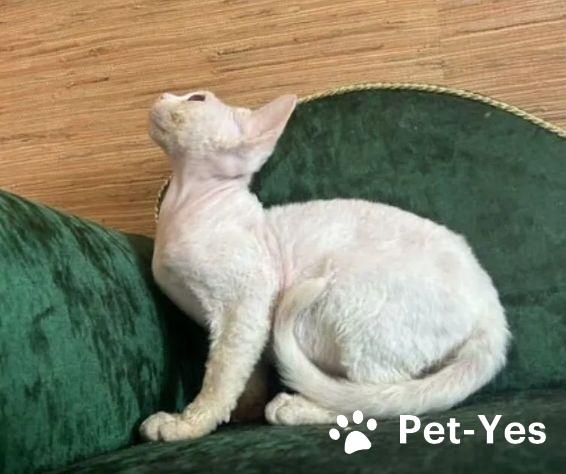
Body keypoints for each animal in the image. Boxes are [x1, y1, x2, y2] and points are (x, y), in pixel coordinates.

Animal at [140, 90, 510, 442]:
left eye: (196, 99)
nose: (161, 95)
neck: (184, 204)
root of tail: (493, 312)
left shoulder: (244, 305)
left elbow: (221, 374)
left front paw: (190, 423)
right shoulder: (249, 324)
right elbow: (249, 371)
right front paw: (244, 409)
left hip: (349, 296)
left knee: (372, 401)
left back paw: (296, 408)